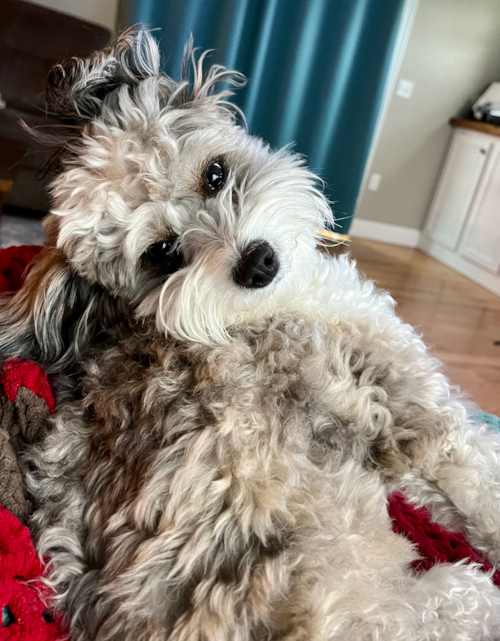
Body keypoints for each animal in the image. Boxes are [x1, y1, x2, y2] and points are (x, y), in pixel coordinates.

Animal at [0, 28, 500, 640]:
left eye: (215, 174)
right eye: (162, 254)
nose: (258, 262)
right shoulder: (415, 414)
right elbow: (482, 480)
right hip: (446, 597)